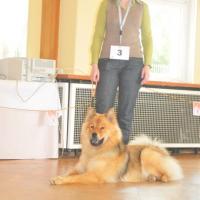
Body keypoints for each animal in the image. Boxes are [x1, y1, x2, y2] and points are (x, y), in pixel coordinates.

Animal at [50, 108, 184, 184]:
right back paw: (152, 178)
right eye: (92, 126)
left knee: (169, 174)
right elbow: (70, 173)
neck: (95, 152)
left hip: (146, 153)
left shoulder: (96, 175)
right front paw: (58, 176)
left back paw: (163, 178)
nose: (94, 134)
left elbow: (75, 178)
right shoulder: (80, 169)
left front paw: (60, 180)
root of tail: (159, 149)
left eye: (102, 128)